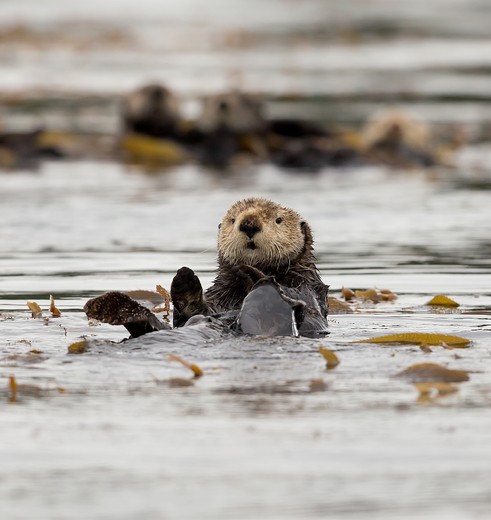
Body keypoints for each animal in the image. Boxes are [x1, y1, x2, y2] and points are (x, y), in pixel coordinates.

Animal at [171, 197, 328, 336]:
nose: (249, 224)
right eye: (233, 220)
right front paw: (185, 285)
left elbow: (312, 314)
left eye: (278, 220)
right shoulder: (219, 297)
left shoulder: (307, 288)